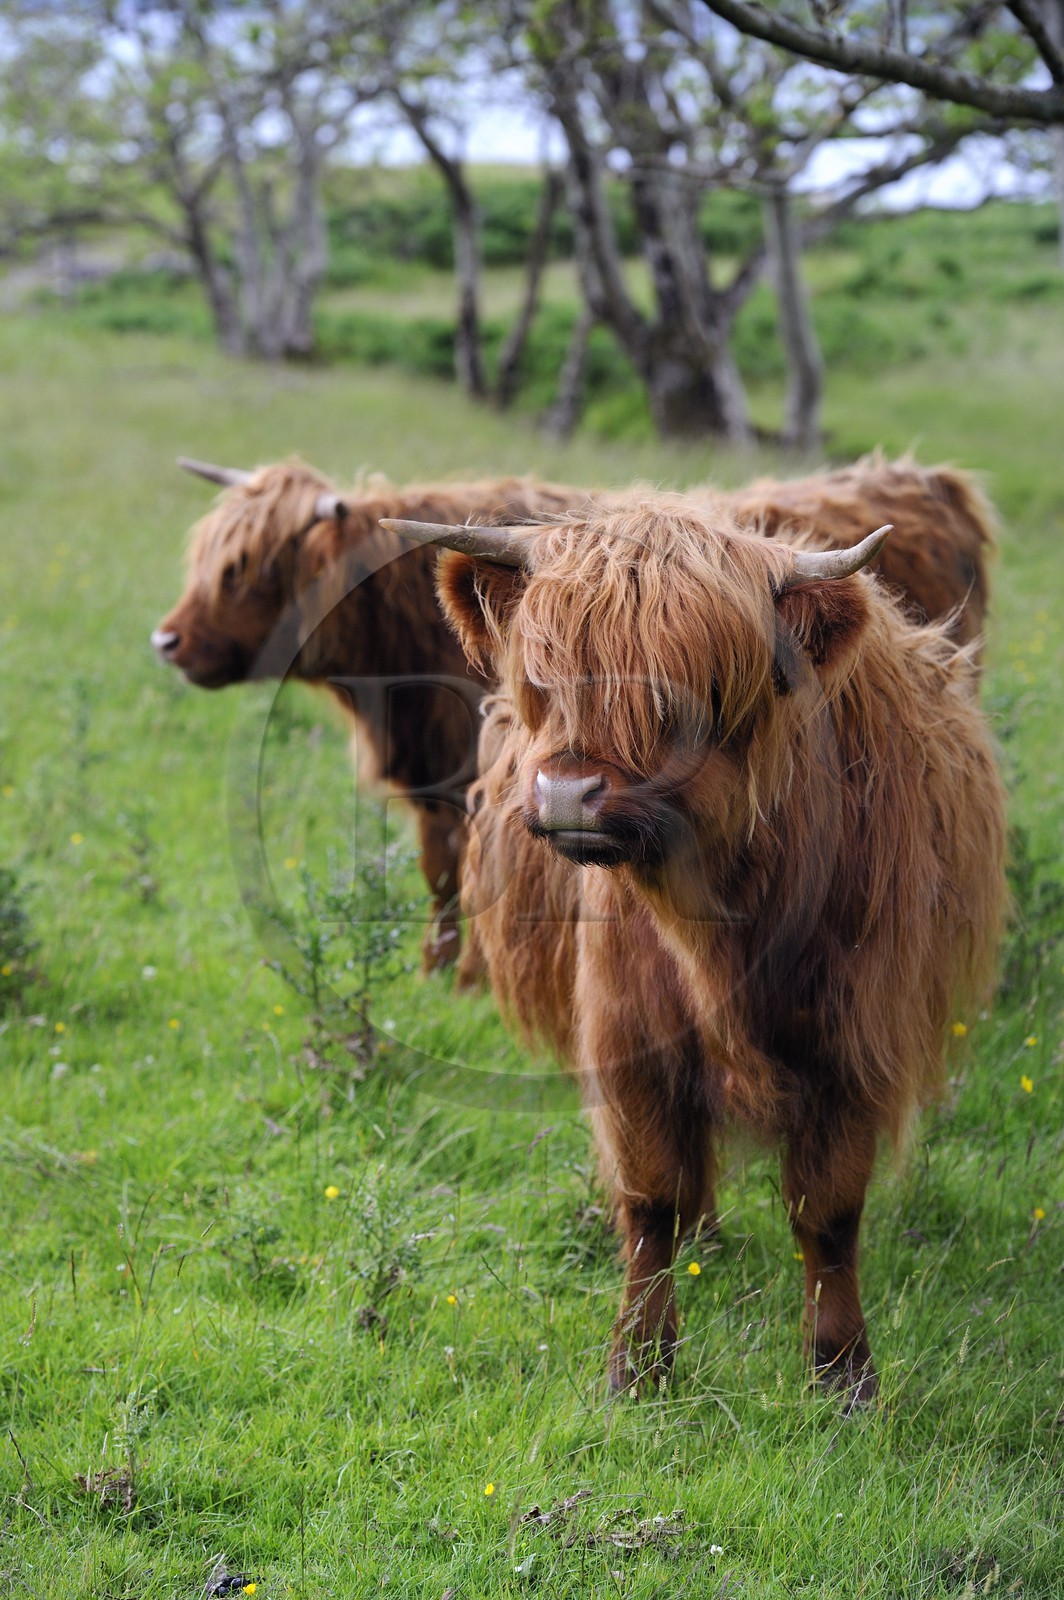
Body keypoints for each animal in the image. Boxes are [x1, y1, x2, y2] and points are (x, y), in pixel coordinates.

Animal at [383, 499, 1008, 1405]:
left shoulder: (853, 1044)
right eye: (545, 680)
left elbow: (828, 1216)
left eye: (691, 695)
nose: (567, 794)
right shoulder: (629, 1041)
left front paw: (844, 1375)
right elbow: (651, 1202)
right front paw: (638, 1366)